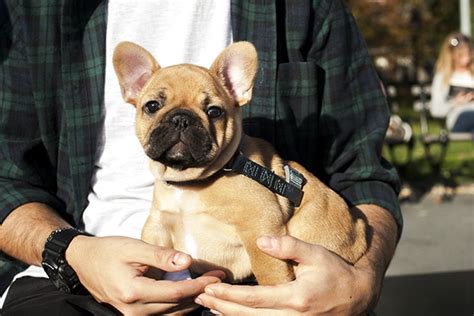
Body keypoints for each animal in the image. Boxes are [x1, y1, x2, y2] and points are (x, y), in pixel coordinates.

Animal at [114, 40, 366, 286]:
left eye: (214, 111)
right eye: (152, 106)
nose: (181, 119)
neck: (189, 182)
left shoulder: (260, 227)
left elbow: (270, 272)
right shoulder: (158, 227)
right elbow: (151, 259)